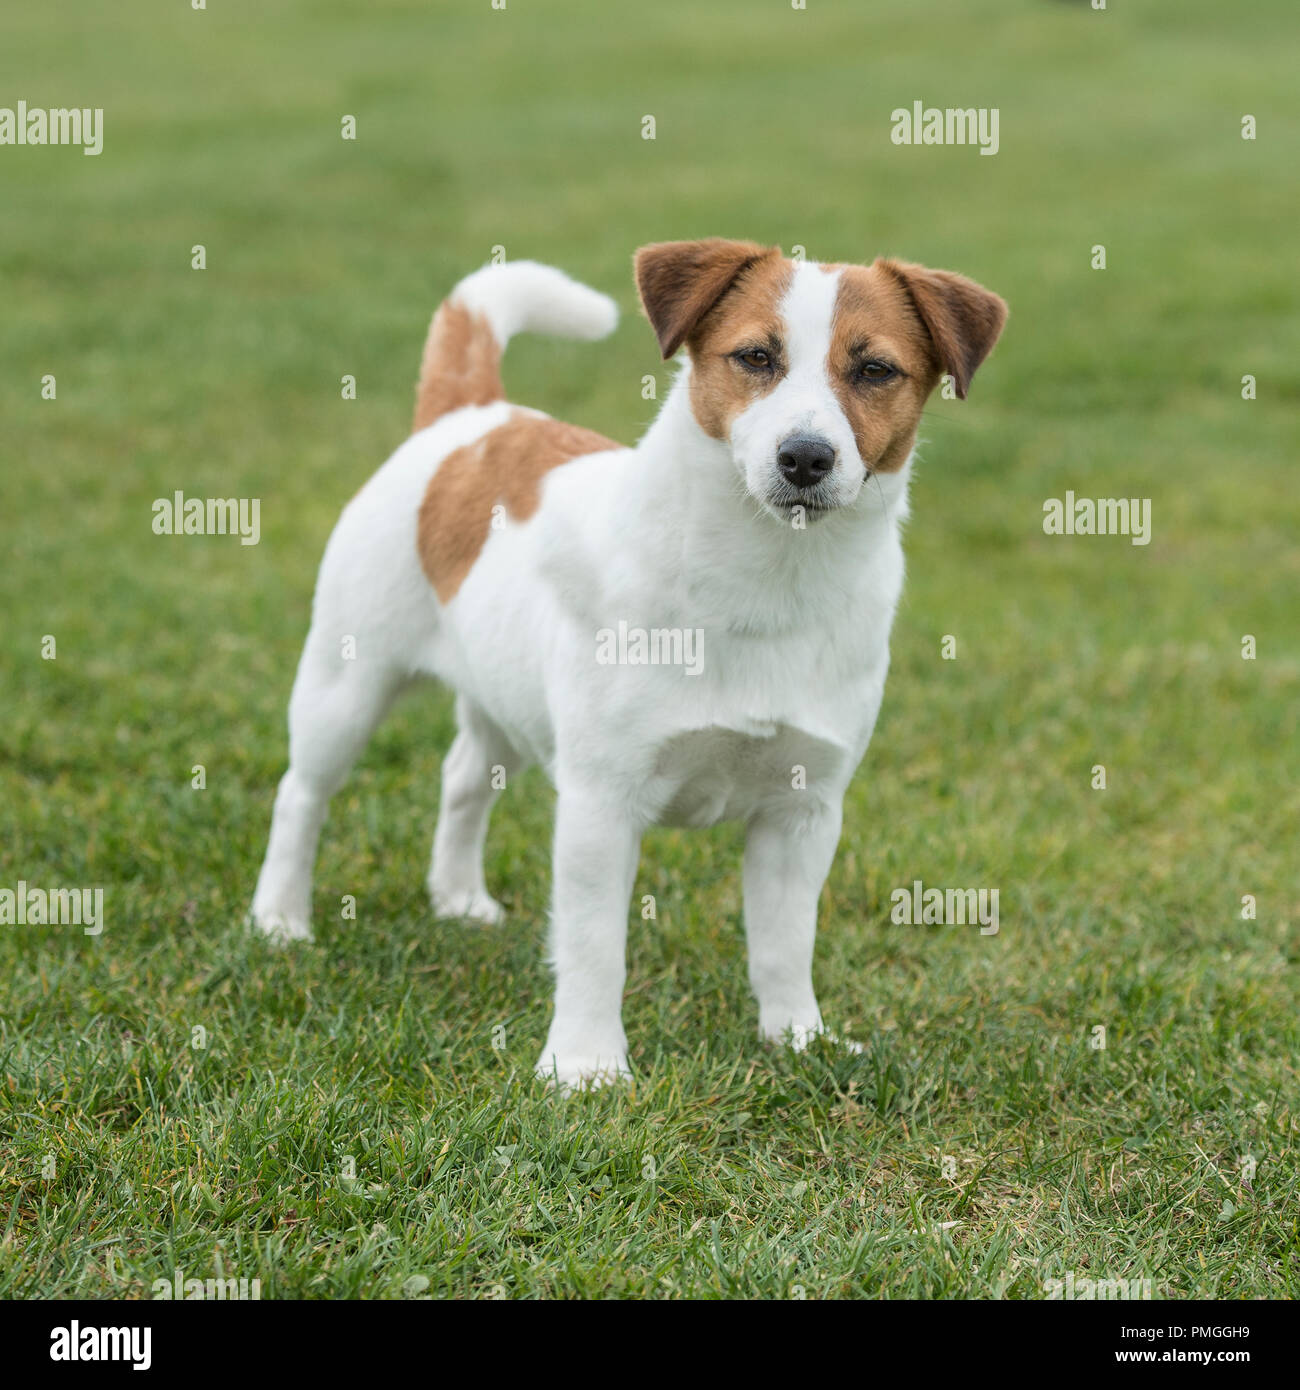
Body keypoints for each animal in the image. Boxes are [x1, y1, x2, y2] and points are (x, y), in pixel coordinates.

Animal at [251, 239, 1006, 1084]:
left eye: (875, 369)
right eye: (756, 356)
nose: (805, 457)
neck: (765, 584)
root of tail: (470, 417)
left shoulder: (803, 811)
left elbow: (785, 944)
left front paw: (798, 1040)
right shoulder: (600, 804)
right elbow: (593, 946)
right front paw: (585, 1067)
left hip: (504, 699)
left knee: (463, 776)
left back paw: (458, 899)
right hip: (345, 685)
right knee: (302, 795)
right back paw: (280, 920)